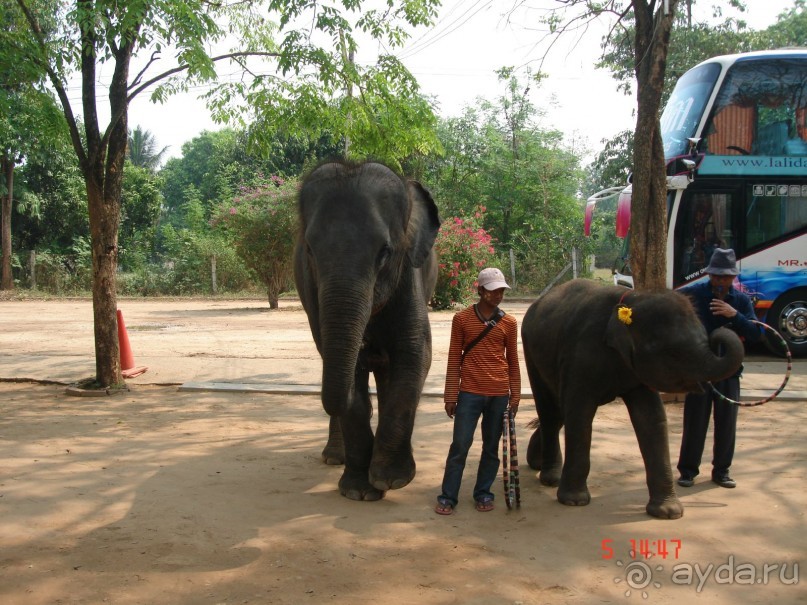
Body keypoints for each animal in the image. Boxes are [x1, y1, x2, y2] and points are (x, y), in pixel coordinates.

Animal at [292, 159, 438, 500]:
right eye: (310, 250)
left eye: (385, 251)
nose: (366, 344)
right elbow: (347, 372)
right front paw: (359, 491)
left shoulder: (409, 276)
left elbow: (416, 352)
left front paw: (390, 479)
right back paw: (335, 457)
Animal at [524, 278, 744, 520]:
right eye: (672, 353)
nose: (721, 331)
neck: (632, 300)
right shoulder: (580, 355)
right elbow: (579, 415)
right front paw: (574, 501)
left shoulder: (638, 372)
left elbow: (651, 419)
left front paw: (668, 512)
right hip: (530, 352)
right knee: (551, 412)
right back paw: (550, 477)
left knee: (558, 411)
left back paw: (537, 464)